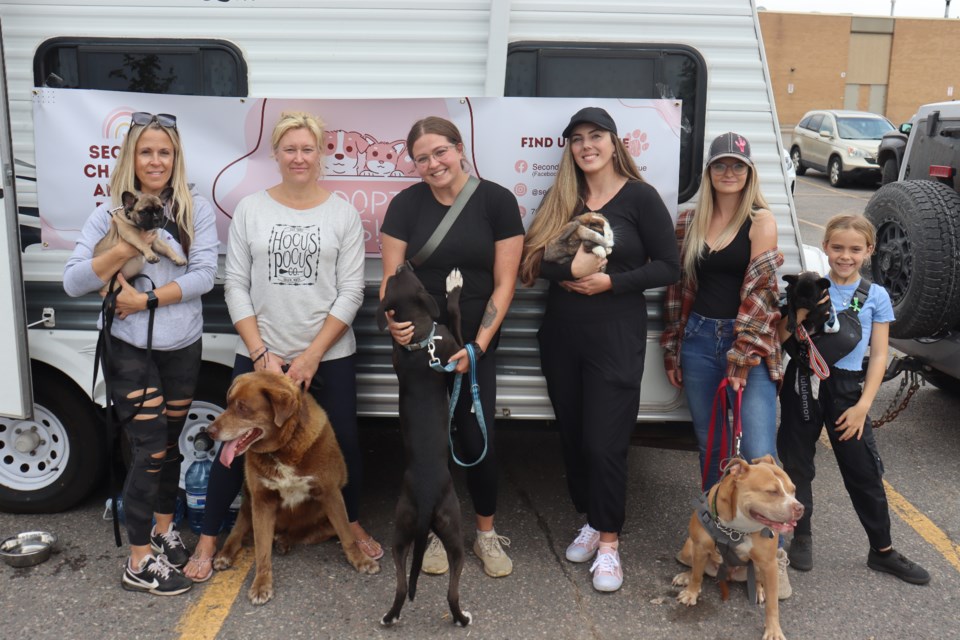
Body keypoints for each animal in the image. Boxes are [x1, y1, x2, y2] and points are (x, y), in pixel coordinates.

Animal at [376, 262, 472, 628]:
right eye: (406, 277)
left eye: (393, 278)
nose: (401, 263)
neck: (420, 343)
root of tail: (428, 495)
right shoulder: (457, 349)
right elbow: (456, 315)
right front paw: (453, 286)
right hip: (454, 531)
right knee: (452, 590)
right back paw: (462, 617)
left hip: (400, 532)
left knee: (402, 585)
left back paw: (390, 617)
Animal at [672, 456, 808, 640]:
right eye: (772, 492)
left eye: (793, 490)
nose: (800, 508)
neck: (737, 529)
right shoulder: (700, 546)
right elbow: (697, 575)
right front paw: (691, 593)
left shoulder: (768, 563)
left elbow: (773, 604)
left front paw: (773, 630)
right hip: (688, 548)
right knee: (696, 568)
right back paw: (685, 576)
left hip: (759, 566)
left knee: (758, 580)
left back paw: (758, 590)